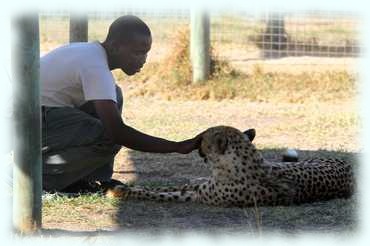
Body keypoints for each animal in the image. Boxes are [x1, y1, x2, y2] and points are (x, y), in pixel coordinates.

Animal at [108, 126, 354, 207]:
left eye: (203, 139)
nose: (195, 144)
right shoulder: (198, 188)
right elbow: (162, 188)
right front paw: (120, 188)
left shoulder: (197, 196)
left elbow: (159, 194)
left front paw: (121, 191)